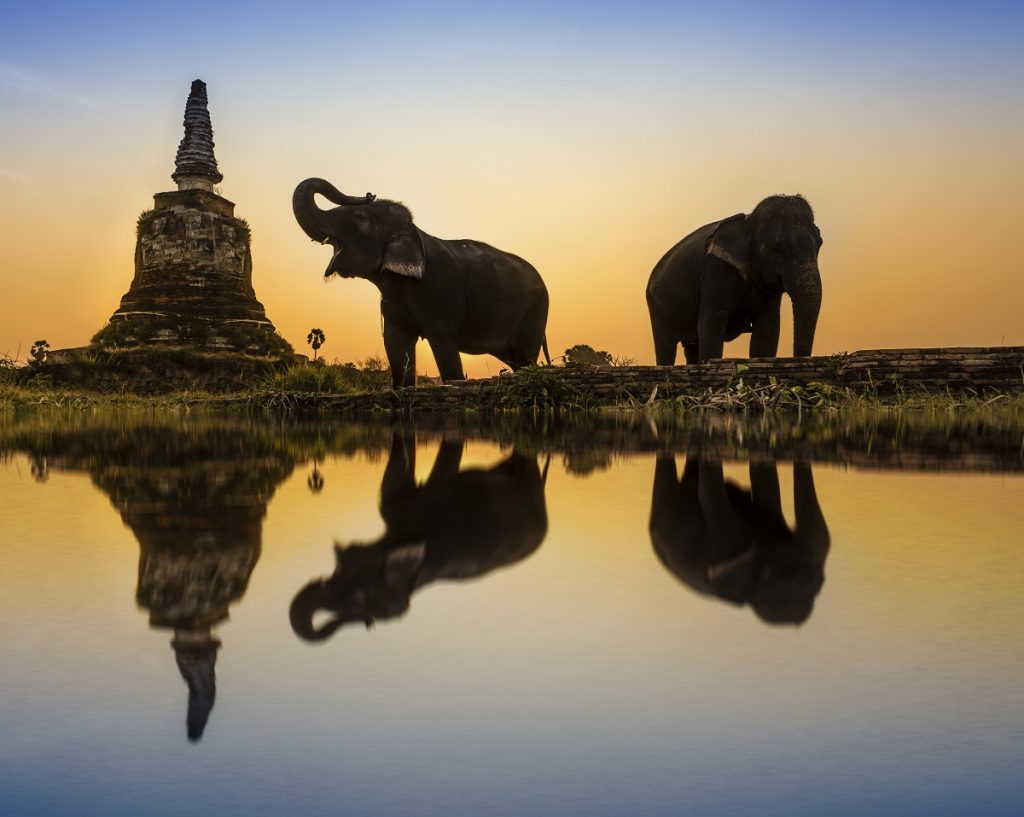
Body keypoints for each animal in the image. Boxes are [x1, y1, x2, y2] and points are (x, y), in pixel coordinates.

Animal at [294, 177, 552, 389]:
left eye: (360, 218)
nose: (369, 194)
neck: (415, 232)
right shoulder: (392, 304)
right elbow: (395, 343)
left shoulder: (441, 293)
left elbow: (444, 345)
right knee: (517, 360)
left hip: (535, 312)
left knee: (526, 356)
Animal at [647, 195, 823, 364]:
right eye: (777, 249)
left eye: (820, 243)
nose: (800, 359)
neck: (748, 221)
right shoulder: (716, 270)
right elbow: (710, 326)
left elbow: (767, 330)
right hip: (657, 307)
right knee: (666, 347)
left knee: (691, 346)